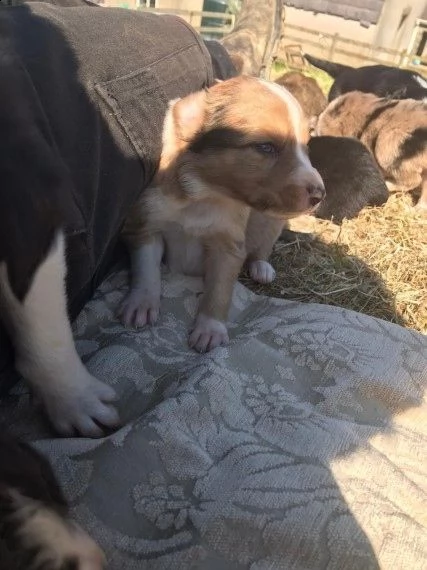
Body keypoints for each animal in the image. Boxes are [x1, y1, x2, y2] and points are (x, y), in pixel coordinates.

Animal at [120, 75, 324, 350]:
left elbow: (219, 290)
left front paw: (210, 328)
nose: (320, 195)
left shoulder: (228, 246)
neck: (204, 195)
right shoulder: (147, 224)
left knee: (262, 249)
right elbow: (146, 268)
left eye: (306, 146)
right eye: (265, 147)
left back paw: (262, 268)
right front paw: (141, 303)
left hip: (270, 222)